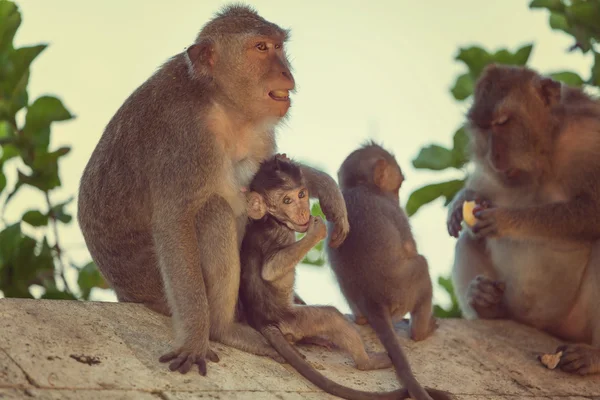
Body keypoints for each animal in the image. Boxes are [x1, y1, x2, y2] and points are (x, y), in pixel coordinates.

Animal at [77, 3, 350, 376]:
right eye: (260, 48)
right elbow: (175, 222)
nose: (285, 72)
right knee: (216, 211)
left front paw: (326, 186)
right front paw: (195, 340)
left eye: (278, 46)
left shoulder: (258, 132)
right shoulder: (184, 135)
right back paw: (224, 329)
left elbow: (267, 173)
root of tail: (125, 293)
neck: (219, 100)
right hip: (156, 288)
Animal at [448, 64, 600, 376]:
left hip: (575, 323)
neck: (546, 152)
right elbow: (483, 188)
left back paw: (595, 355)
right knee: (469, 238)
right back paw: (485, 303)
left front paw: (506, 220)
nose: (494, 156)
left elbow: (594, 210)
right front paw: (463, 199)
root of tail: (541, 326)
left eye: (503, 122)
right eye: (484, 129)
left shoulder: (590, 137)